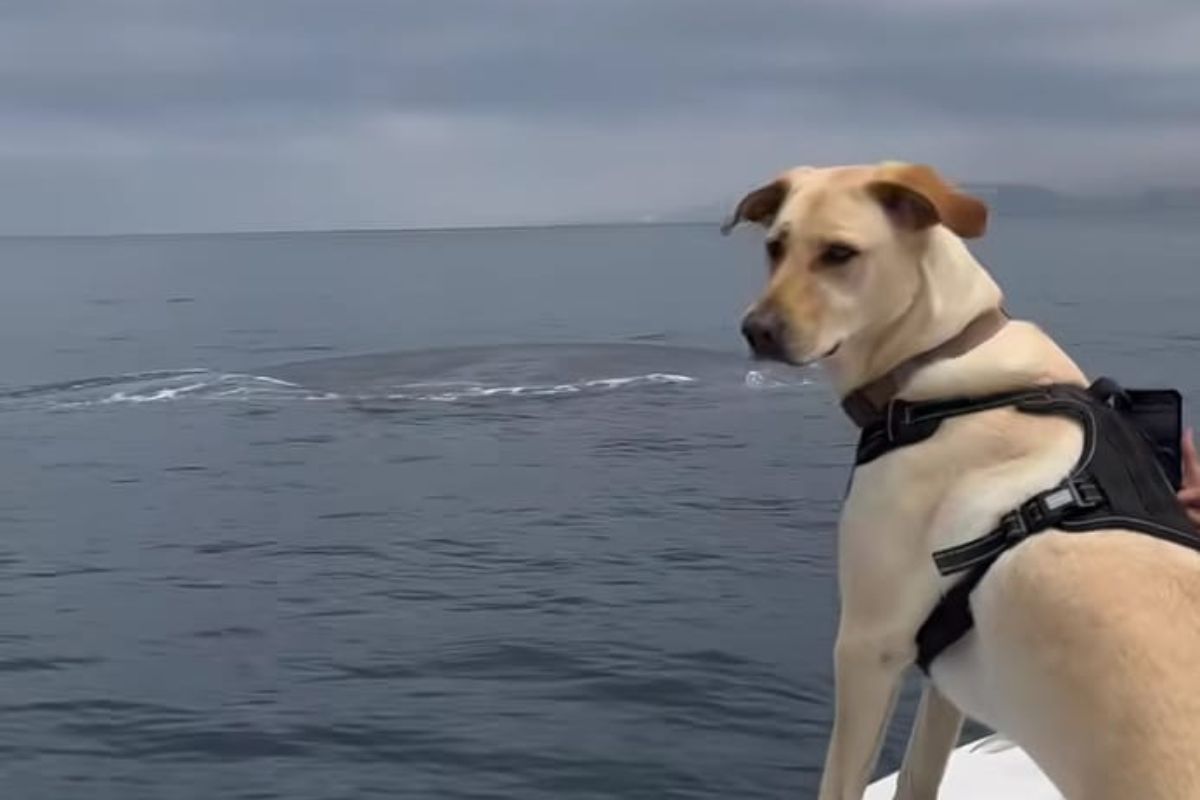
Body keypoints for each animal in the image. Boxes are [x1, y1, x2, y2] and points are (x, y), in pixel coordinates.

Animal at [720, 159, 1200, 796]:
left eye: (840, 254)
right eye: (775, 246)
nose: (756, 331)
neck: (941, 359)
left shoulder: (868, 646)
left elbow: (842, 781)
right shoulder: (942, 676)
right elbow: (919, 773)